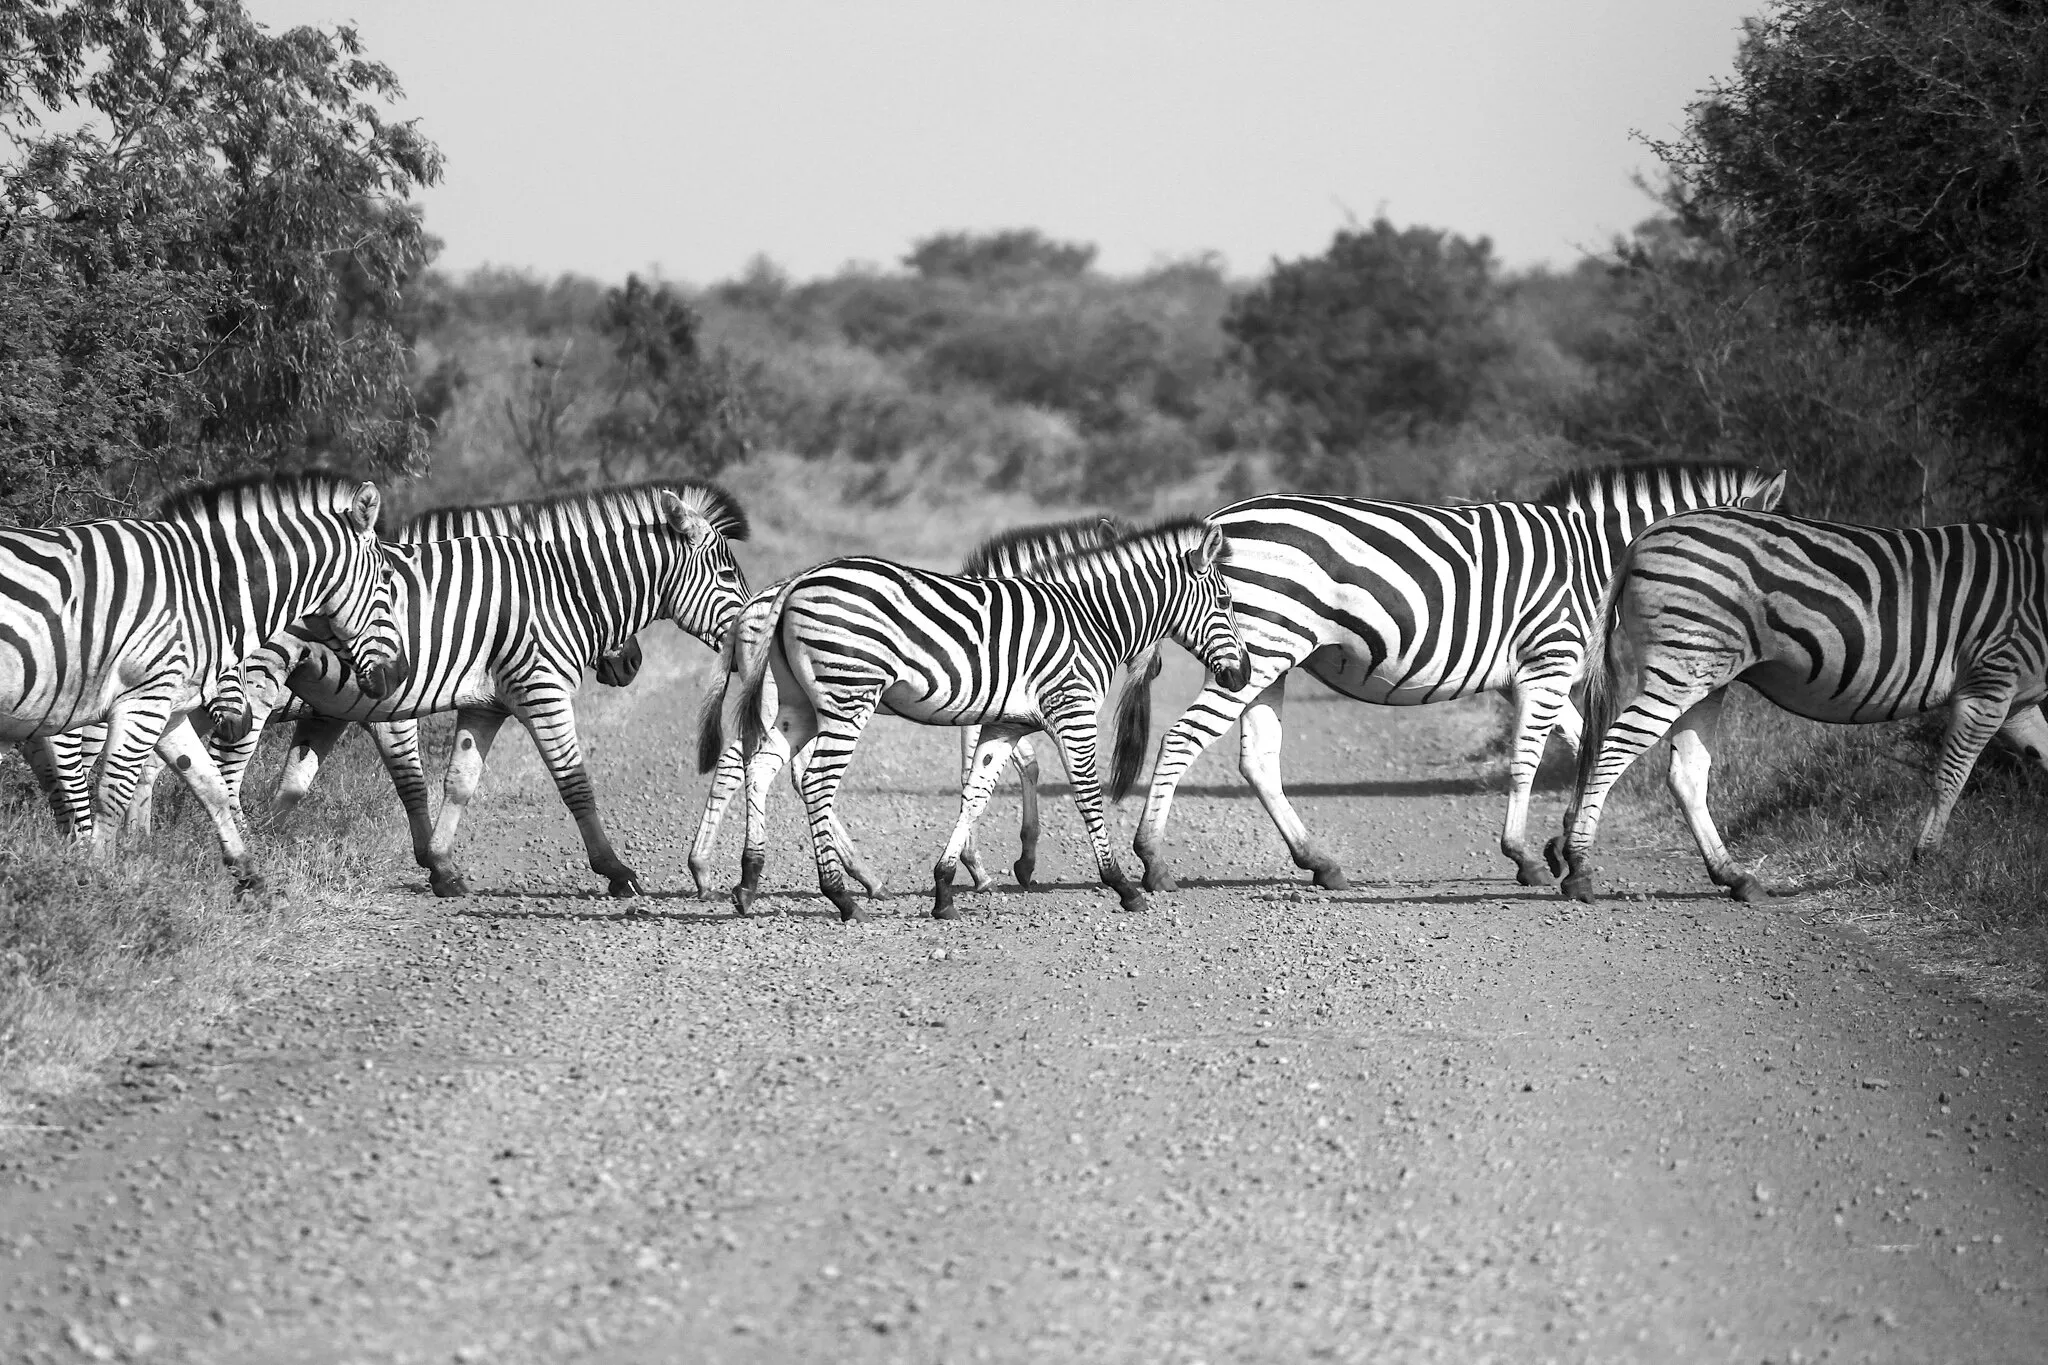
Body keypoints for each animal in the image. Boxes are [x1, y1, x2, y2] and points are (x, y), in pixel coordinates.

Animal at [0, 471, 403, 888]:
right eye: (388, 580)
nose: (400, 673)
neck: (197, 592)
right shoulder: (141, 701)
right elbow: (113, 791)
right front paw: (93, 876)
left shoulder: (167, 705)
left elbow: (208, 783)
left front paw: (248, 872)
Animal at [211, 481, 750, 898]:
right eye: (726, 574)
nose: (632, 663)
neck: (552, 592)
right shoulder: (533, 691)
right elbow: (572, 782)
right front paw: (616, 872)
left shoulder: (476, 705)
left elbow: (455, 782)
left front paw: (441, 867)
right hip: (251, 693)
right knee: (224, 774)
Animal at [730, 516, 1250, 922]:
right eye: (1226, 603)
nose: (1242, 674)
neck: (1089, 618)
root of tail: (795, 582)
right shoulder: (1072, 710)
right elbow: (1086, 796)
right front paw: (1121, 885)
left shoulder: (1005, 723)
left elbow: (976, 795)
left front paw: (946, 888)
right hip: (848, 696)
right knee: (815, 781)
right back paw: (842, 897)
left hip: (799, 704)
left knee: (762, 766)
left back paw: (749, 882)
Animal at [1130, 461, 1787, 893]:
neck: (1600, 556)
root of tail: (1215, 522)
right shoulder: (1549, 661)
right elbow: (1532, 760)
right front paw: (1527, 856)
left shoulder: (1547, 669)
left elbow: (1583, 746)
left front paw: (1562, 844)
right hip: (1261, 648)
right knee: (1183, 739)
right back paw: (1153, 859)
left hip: (1269, 657)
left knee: (1258, 760)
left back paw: (1320, 863)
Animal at [1546, 509, 2048, 903]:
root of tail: (1641, 540)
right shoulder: (1991, 681)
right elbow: (1952, 775)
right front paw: (1925, 857)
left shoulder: (2020, 703)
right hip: (1682, 668)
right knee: (1613, 748)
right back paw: (1579, 867)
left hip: (1703, 674)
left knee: (1684, 774)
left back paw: (1735, 877)